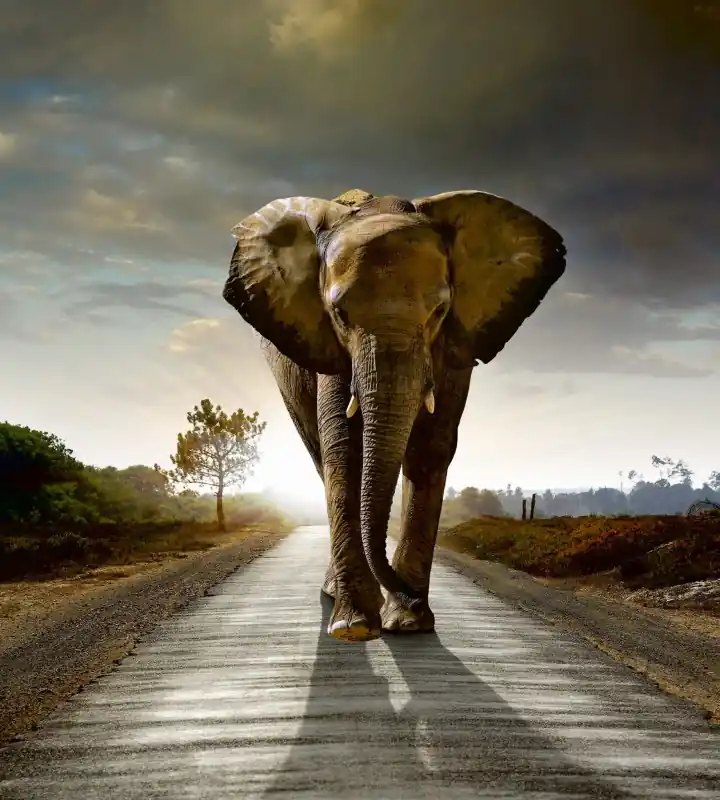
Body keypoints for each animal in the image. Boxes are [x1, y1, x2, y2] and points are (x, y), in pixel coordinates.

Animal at [222, 187, 566, 642]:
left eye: (439, 312)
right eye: (339, 314)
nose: (410, 596)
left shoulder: (454, 344)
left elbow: (431, 448)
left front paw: (408, 623)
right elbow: (344, 447)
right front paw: (354, 627)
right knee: (320, 455)